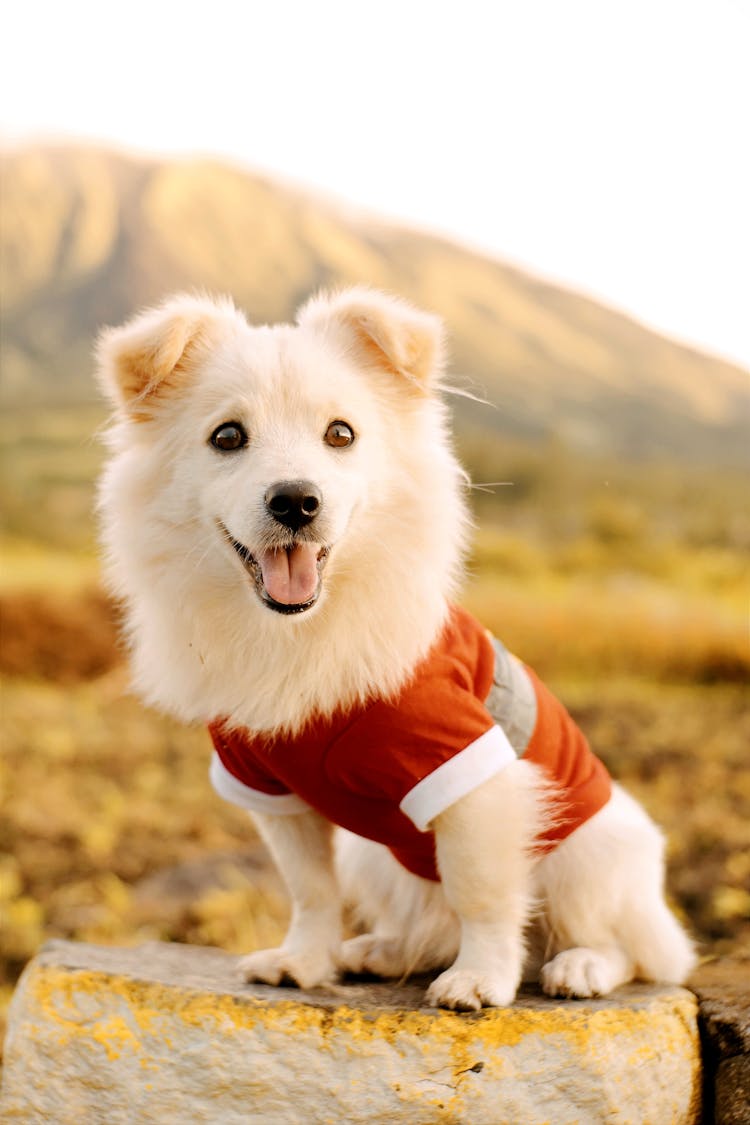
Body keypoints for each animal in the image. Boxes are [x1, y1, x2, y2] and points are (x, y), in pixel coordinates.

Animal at [96, 288, 697, 1012]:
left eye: (341, 434)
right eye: (228, 437)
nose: (296, 501)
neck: (299, 632)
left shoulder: (466, 771)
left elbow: (483, 894)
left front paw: (480, 978)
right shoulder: (269, 786)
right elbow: (310, 890)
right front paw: (304, 961)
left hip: (589, 855)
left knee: (623, 946)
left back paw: (578, 967)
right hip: (374, 855)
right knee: (426, 927)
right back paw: (379, 951)